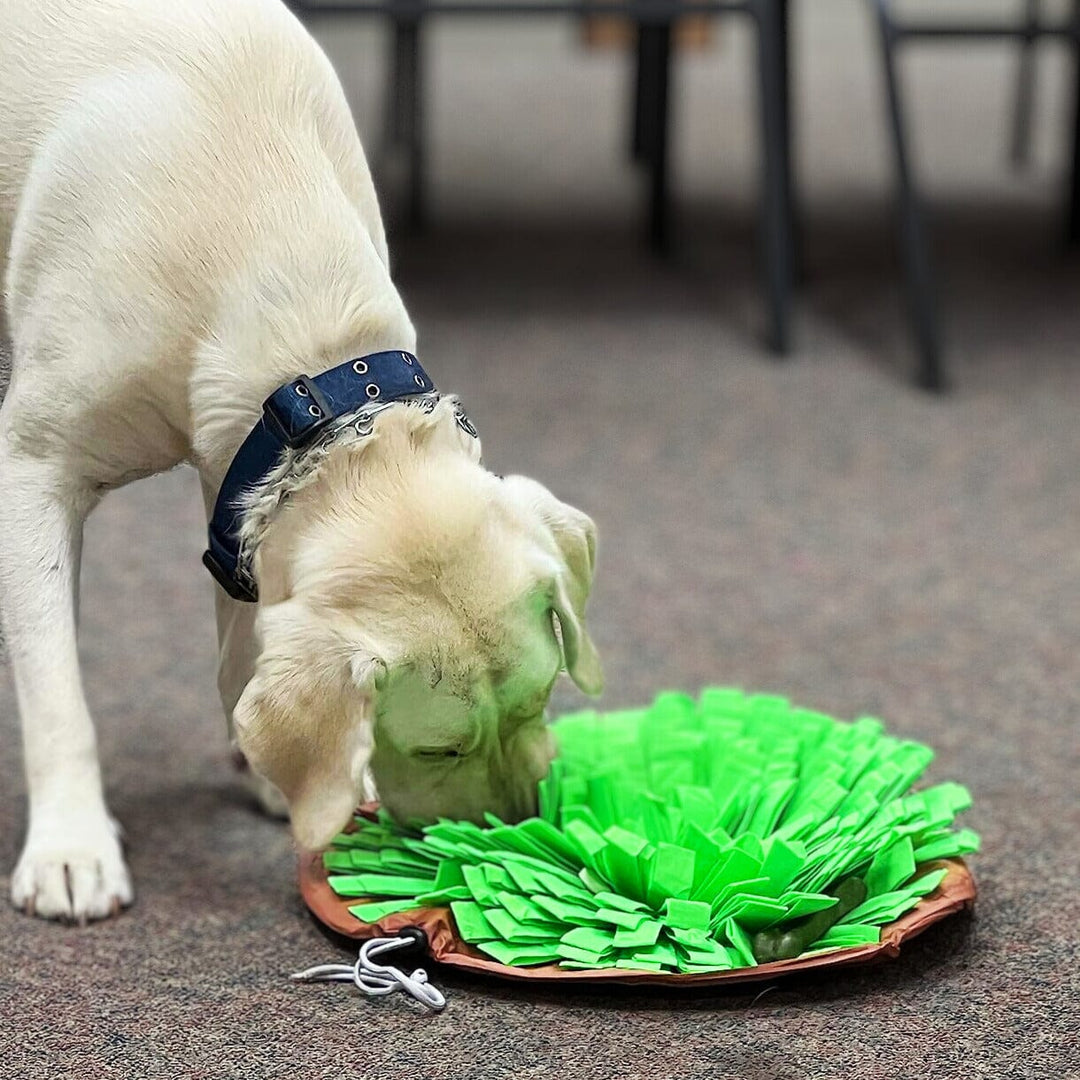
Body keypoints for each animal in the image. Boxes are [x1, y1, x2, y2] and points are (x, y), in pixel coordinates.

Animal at [0, 2, 600, 928]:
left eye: (541, 699)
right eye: (437, 746)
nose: (510, 831)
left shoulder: (237, 482)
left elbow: (240, 642)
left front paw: (271, 768)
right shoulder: (36, 470)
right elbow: (55, 683)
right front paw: (72, 844)